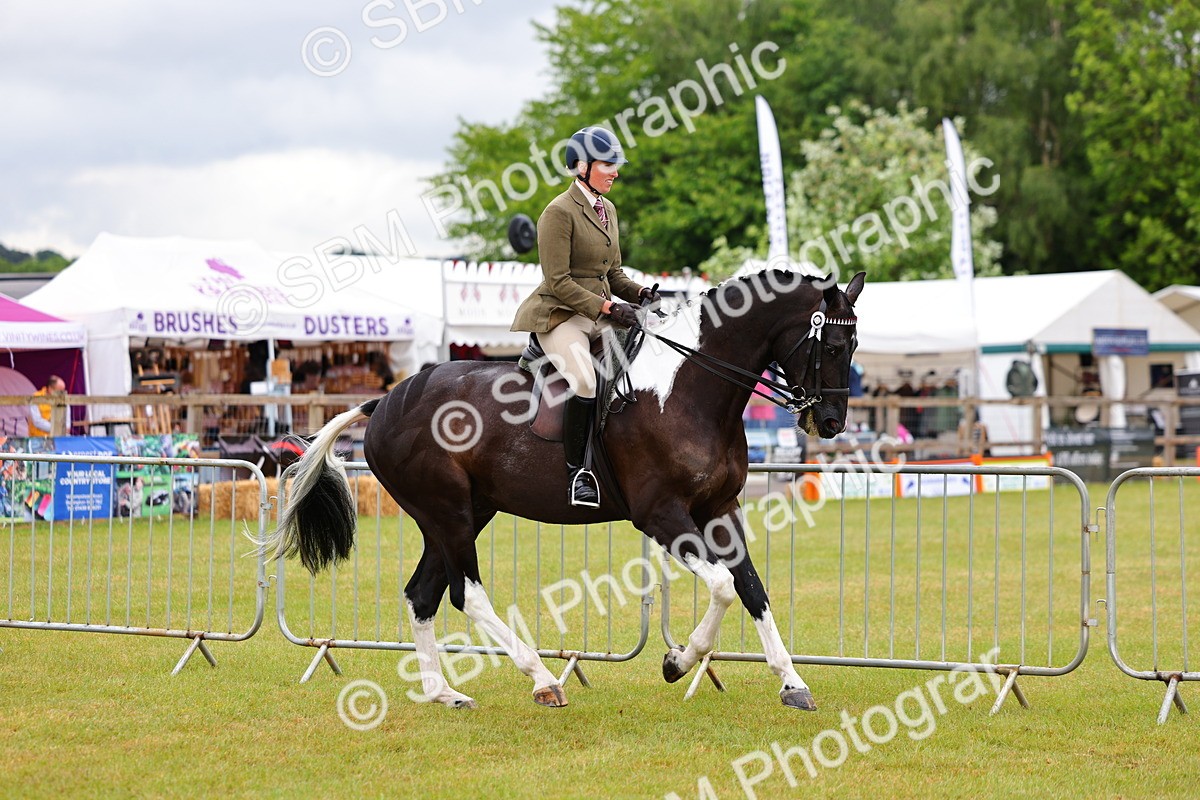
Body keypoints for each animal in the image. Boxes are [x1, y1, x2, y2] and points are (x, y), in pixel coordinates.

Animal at [258, 269, 865, 710]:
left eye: (854, 343)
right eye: (833, 345)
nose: (831, 422)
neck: (688, 388)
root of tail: (384, 401)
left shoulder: (720, 508)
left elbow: (751, 587)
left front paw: (792, 683)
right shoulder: (662, 514)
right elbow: (720, 585)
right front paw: (677, 662)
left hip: (461, 513)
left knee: (422, 594)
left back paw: (443, 692)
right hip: (448, 514)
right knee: (465, 594)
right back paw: (542, 678)